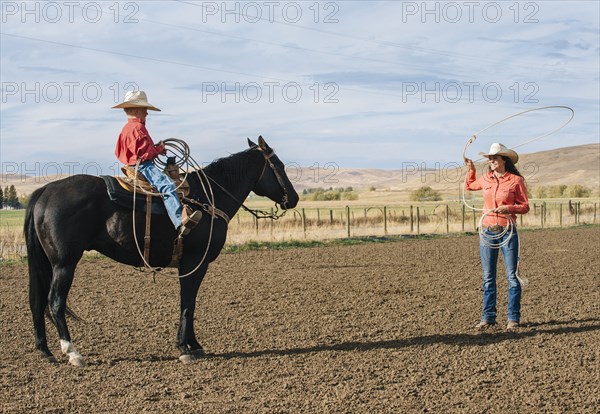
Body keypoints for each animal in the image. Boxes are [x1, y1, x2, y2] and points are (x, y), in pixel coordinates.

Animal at [25, 137, 298, 366]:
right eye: (280, 165)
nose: (293, 199)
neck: (209, 199)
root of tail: (45, 191)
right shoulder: (195, 262)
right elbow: (188, 302)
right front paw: (185, 348)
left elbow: (189, 303)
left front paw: (194, 345)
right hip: (65, 263)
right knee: (55, 302)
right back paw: (73, 353)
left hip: (49, 264)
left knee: (37, 302)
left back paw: (46, 352)